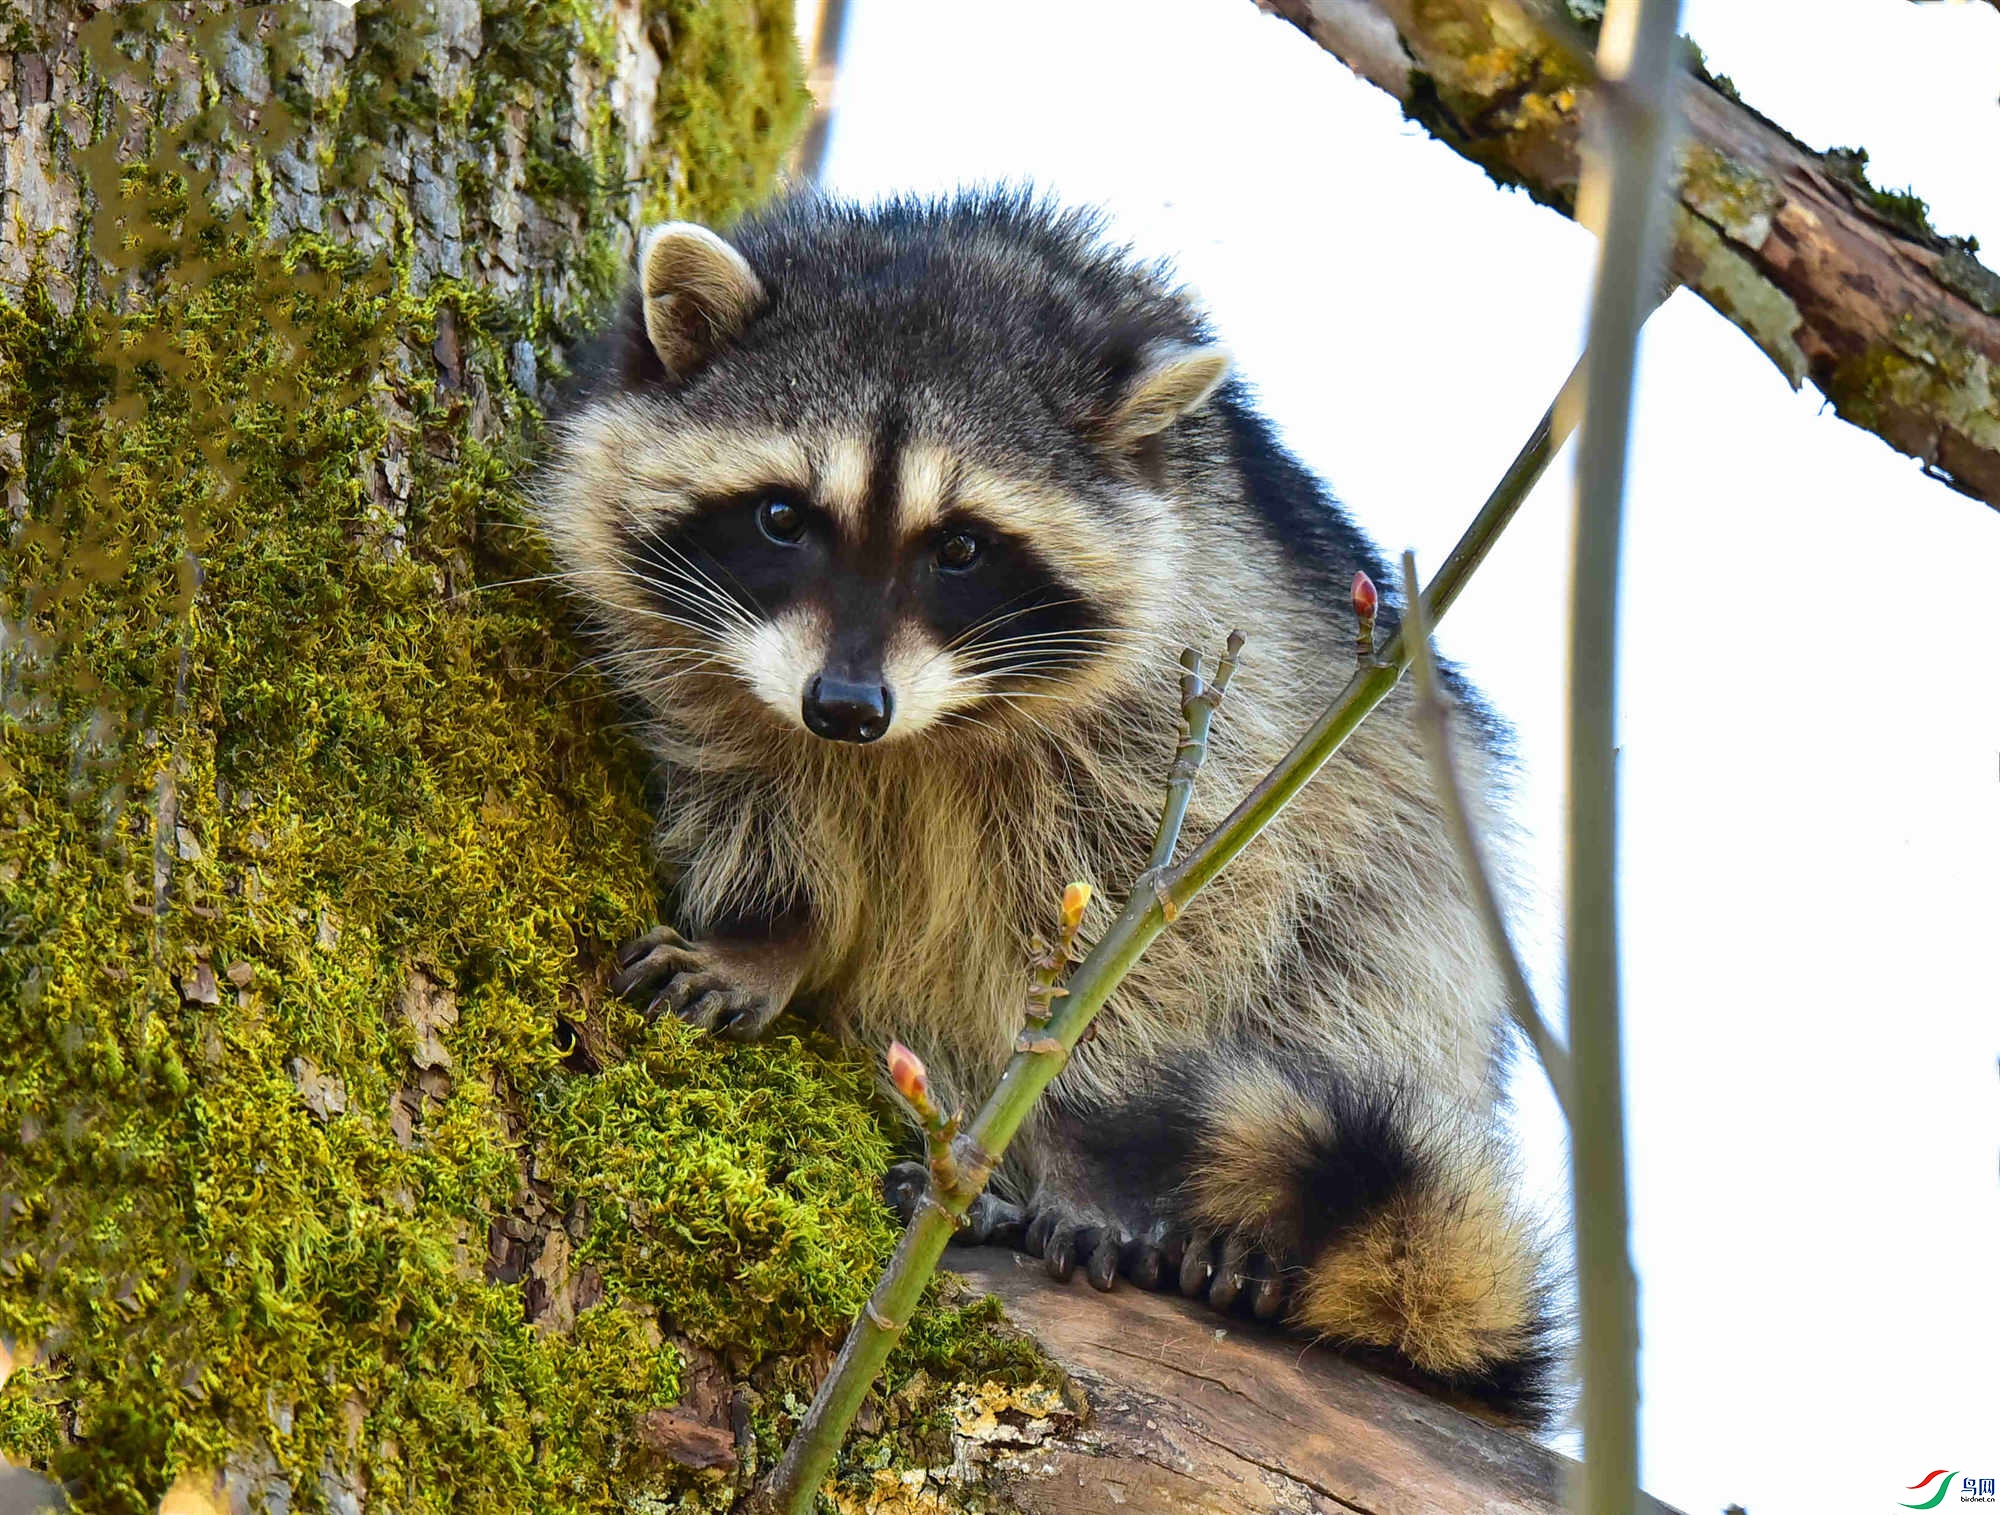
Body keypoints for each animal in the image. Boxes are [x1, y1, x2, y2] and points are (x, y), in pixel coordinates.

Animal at [544, 195, 1560, 1431]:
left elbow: (1153, 946)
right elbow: (745, 784)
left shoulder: (1204, 702)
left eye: (962, 547)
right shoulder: (699, 665)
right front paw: (766, 935)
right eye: (782, 516)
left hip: (1405, 864)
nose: (844, 708)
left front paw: (1082, 1142)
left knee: (1367, 961)